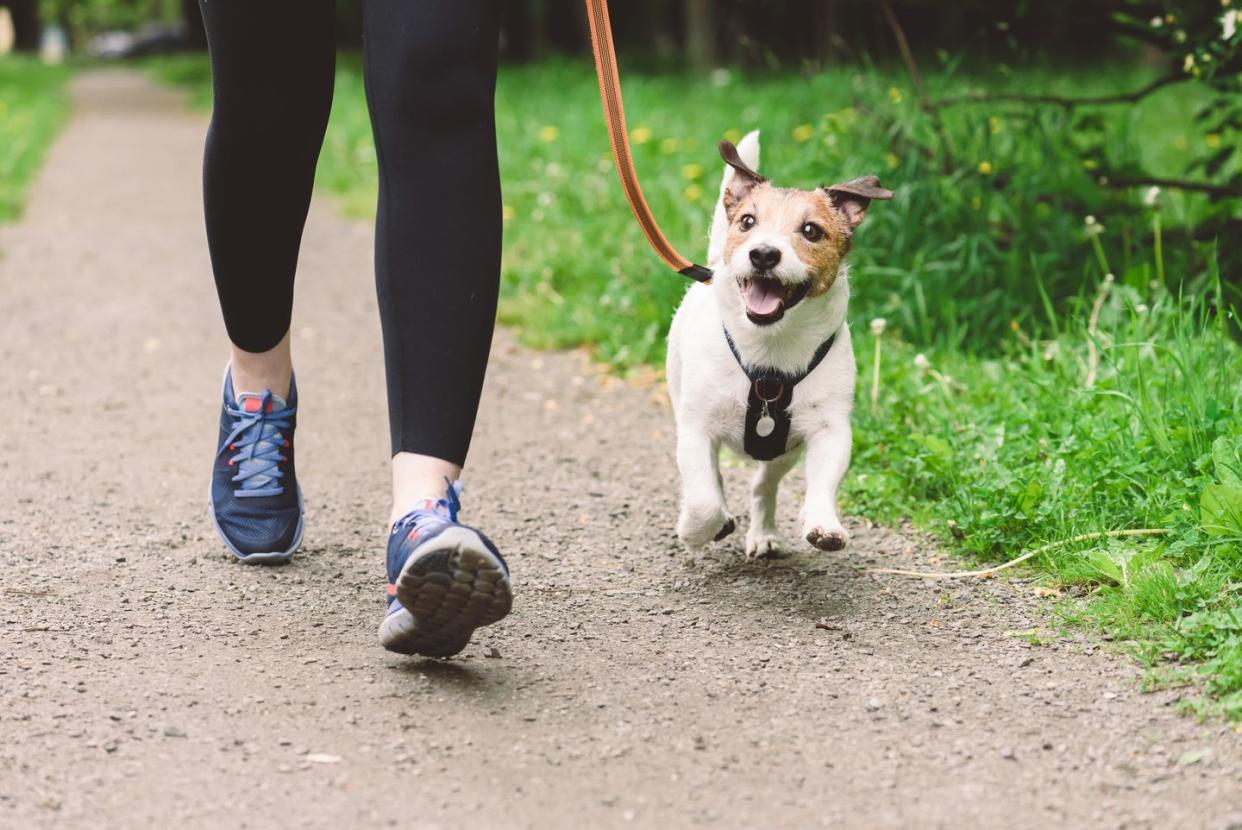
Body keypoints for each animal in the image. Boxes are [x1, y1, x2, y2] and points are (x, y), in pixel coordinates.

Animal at [665, 131, 889, 556]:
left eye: (811, 230)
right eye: (747, 222)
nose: (764, 253)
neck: (770, 353)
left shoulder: (829, 430)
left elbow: (823, 481)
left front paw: (823, 523)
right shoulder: (695, 429)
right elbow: (703, 500)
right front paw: (695, 529)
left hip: (783, 451)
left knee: (763, 485)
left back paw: (764, 532)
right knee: (714, 481)